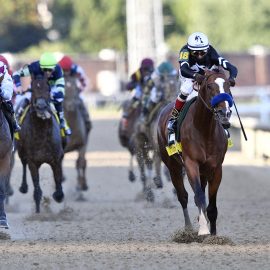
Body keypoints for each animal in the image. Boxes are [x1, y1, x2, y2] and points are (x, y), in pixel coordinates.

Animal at [15, 74, 64, 213]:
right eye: (32, 89)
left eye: (48, 89)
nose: (41, 107)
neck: (41, 134)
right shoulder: (33, 161)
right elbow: (37, 190)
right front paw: (38, 212)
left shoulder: (56, 159)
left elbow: (59, 186)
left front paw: (57, 195)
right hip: (21, 151)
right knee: (23, 164)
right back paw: (23, 187)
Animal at [157, 68, 233, 234]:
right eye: (210, 86)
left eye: (228, 85)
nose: (224, 113)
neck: (204, 130)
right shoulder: (191, 164)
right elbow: (198, 197)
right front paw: (203, 229)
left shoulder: (216, 168)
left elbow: (211, 205)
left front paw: (213, 234)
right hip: (173, 166)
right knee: (183, 196)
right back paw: (188, 229)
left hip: (204, 171)